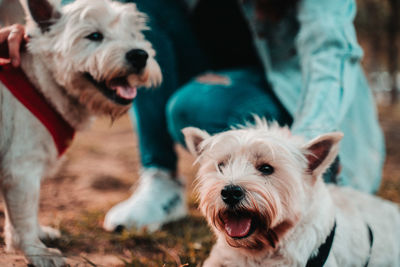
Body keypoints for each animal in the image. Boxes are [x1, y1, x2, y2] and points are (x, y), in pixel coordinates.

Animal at [1, 0, 161, 266]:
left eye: (133, 34)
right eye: (94, 36)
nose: (139, 55)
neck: (41, 83)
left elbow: (24, 213)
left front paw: (36, 236)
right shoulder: (21, 169)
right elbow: (24, 215)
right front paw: (37, 251)